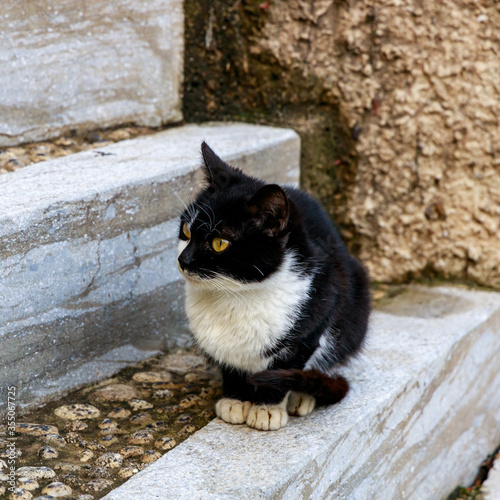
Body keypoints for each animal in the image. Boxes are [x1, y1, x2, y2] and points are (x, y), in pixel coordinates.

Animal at [178, 142, 370, 430]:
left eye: (219, 243)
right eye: (186, 232)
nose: (183, 260)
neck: (235, 294)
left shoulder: (316, 313)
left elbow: (285, 366)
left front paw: (267, 409)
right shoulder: (219, 343)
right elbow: (230, 364)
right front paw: (235, 400)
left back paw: (302, 396)